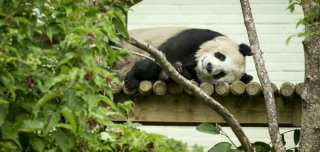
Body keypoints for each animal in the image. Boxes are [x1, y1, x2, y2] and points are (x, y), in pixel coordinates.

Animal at [114, 26, 254, 91]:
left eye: (220, 74)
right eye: (221, 56)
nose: (209, 67)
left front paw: (177, 71)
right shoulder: (194, 38)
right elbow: (163, 56)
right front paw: (132, 78)